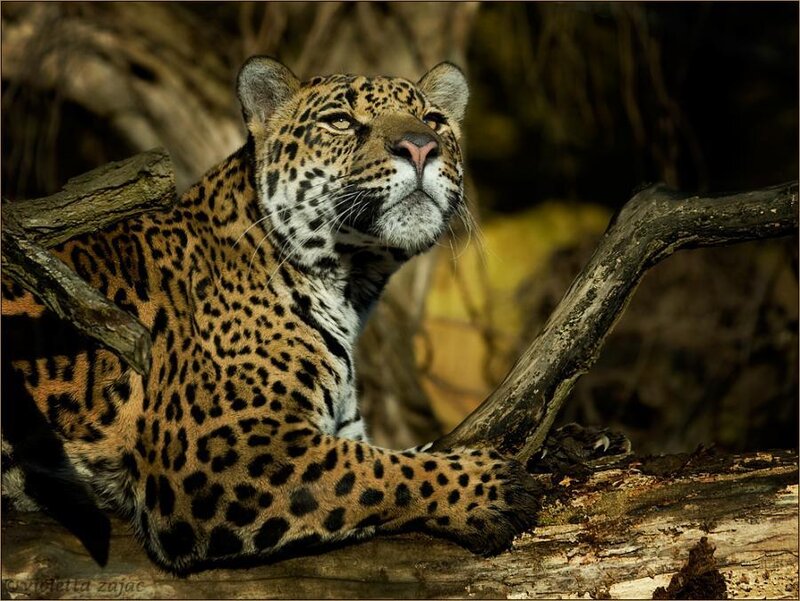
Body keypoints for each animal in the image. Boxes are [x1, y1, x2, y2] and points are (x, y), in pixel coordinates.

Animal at [1, 57, 545, 574]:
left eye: (433, 120)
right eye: (341, 122)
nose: (420, 147)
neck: (349, 285)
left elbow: (387, 454)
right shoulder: (221, 451)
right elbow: (373, 470)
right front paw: (492, 488)